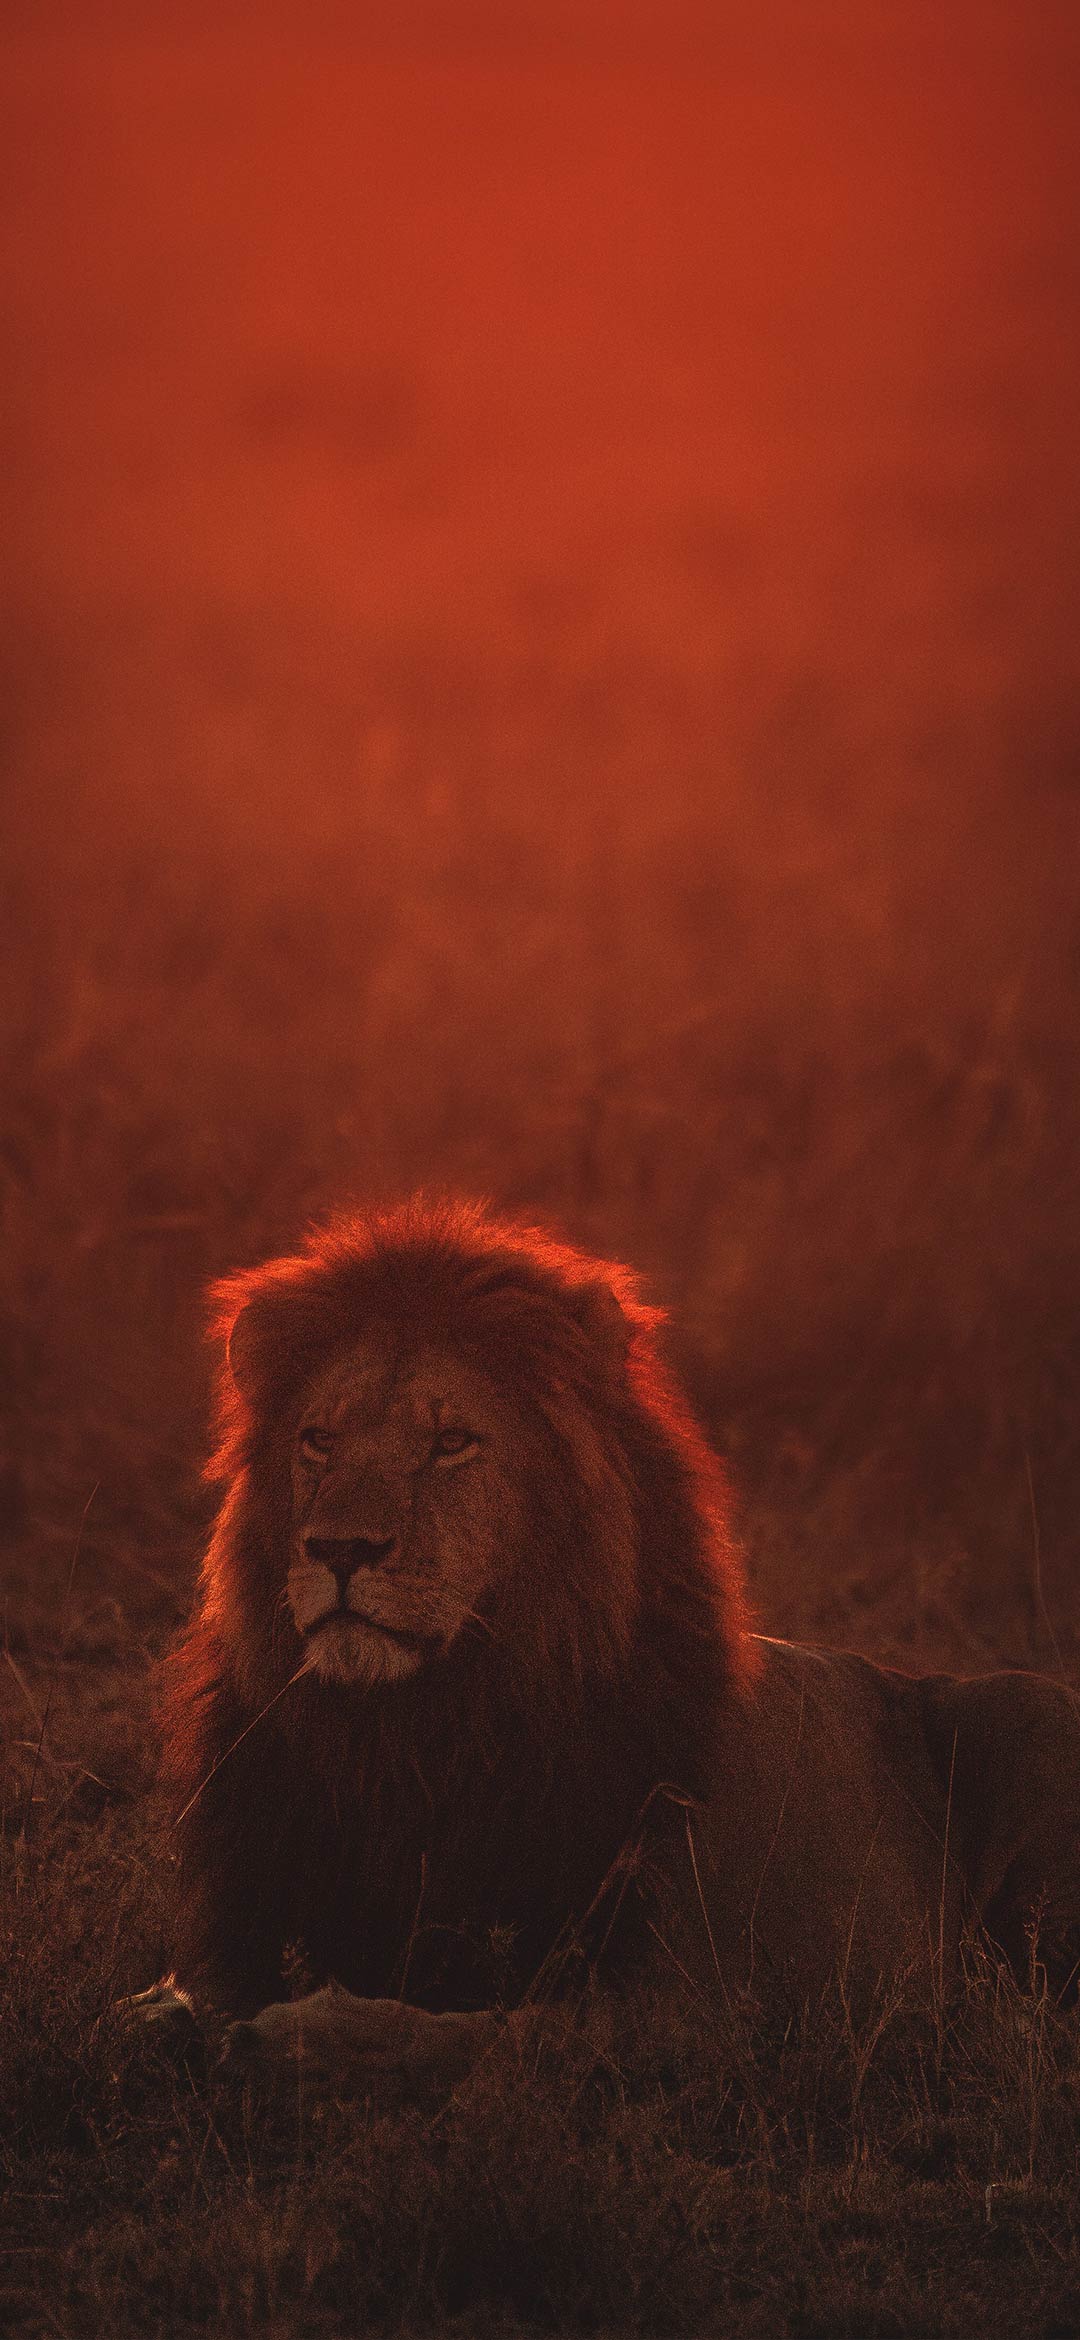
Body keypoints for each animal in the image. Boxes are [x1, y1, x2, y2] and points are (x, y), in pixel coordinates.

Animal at [150, 1198, 1080, 2089]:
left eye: (451, 1443)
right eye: (319, 1440)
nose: (340, 1549)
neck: (410, 1739)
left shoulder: (700, 2005)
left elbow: (493, 2036)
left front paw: (302, 2034)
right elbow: (164, 2007)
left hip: (1030, 1718)